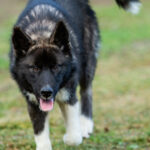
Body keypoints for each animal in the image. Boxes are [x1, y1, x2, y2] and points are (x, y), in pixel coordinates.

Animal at [9, 0, 142, 149]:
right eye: (35, 68)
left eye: (56, 67)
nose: (46, 92)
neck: (41, 32)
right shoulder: (33, 101)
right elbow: (40, 131)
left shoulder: (69, 94)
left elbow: (73, 137)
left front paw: (70, 136)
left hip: (87, 66)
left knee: (86, 91)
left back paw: (85, 124)